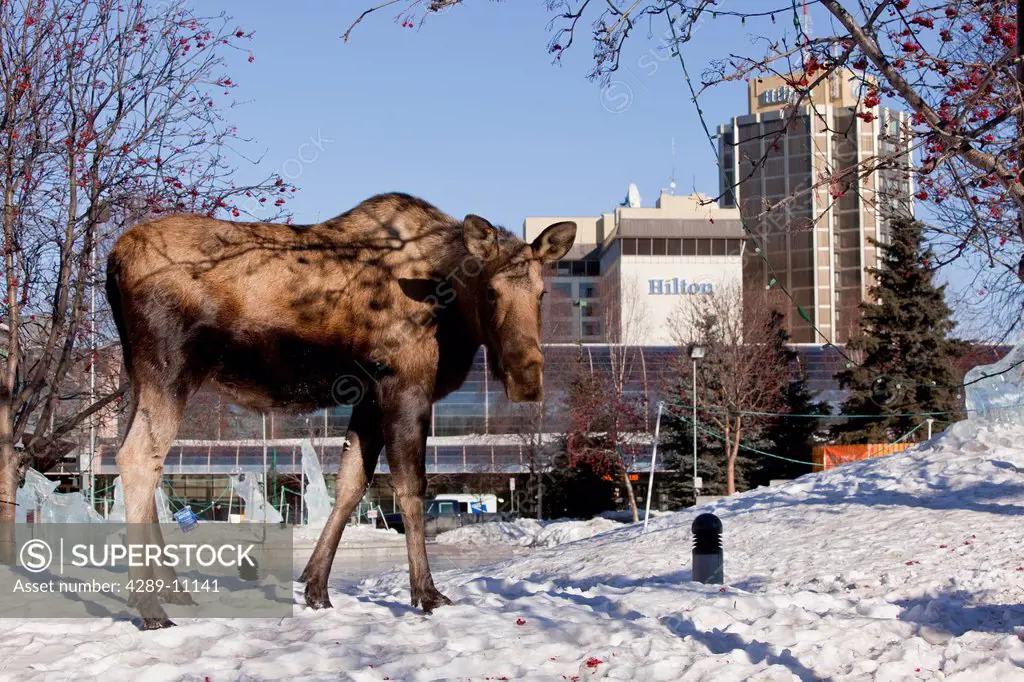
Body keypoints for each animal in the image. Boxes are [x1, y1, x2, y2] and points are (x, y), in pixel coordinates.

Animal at [108, 191, 581, 626]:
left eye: (541, 293)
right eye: (491, 291)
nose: (526, 378)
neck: (452, 309)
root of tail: (113, 260)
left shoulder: (367, 397)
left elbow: (351, 485)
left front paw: (315, 588)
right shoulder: (405, 384)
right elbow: (411, 487)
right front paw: (426, 594)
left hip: (140, 377)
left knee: (145, 461)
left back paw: (172, 591)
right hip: (170, 369)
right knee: (137, 458)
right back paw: (151, 608)